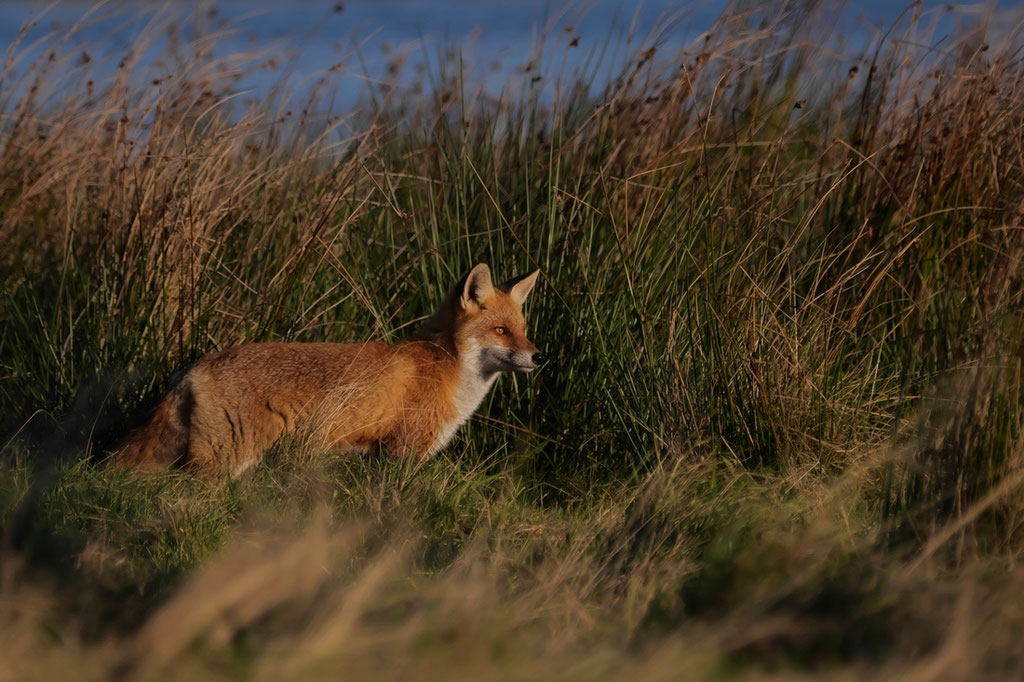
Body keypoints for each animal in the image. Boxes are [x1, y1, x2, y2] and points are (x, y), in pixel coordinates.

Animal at [111, 263, 544, 477]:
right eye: (501, 331)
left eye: (524, 329)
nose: (540, 357)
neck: (447, 370)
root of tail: (194, 368)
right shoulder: (402, 451)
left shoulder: (377, 456)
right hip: (222, 463)